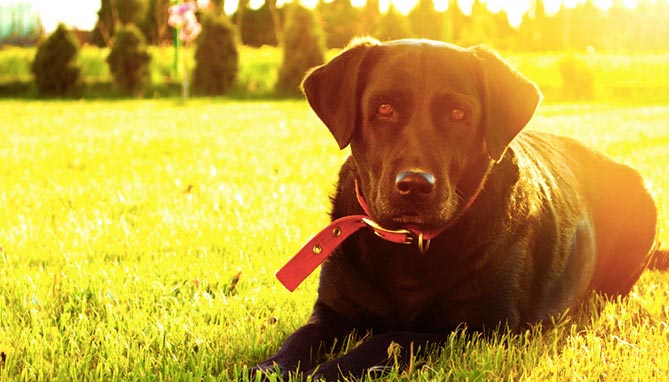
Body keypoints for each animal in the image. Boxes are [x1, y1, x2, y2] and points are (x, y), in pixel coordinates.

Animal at [250, 37, 664, 380]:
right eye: (384, 108)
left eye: (458, 114)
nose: (415, 185)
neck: (407, 250)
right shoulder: (332, 311)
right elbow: (300, 339)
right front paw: (271, 366)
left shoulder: (476, 328)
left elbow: (389, 339)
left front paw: (328, 371)